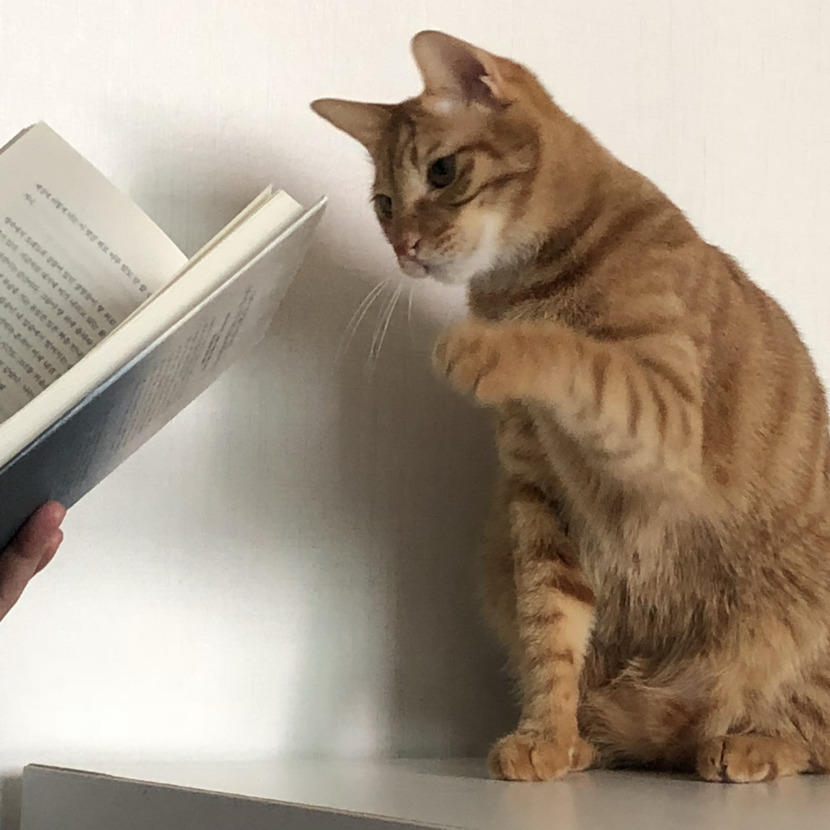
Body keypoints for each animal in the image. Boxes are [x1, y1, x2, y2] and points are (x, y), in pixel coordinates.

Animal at [312, 30, 830, 784]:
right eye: (382, 203)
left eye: (442, 172)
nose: (404, 248)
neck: (517, 288)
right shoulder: (538, 500)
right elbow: (549, 629)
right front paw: (549, 736)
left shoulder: (668, 426)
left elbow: (579, 358)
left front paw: (488, 347)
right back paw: (602, 737)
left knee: (810, 728)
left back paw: (751, 742)